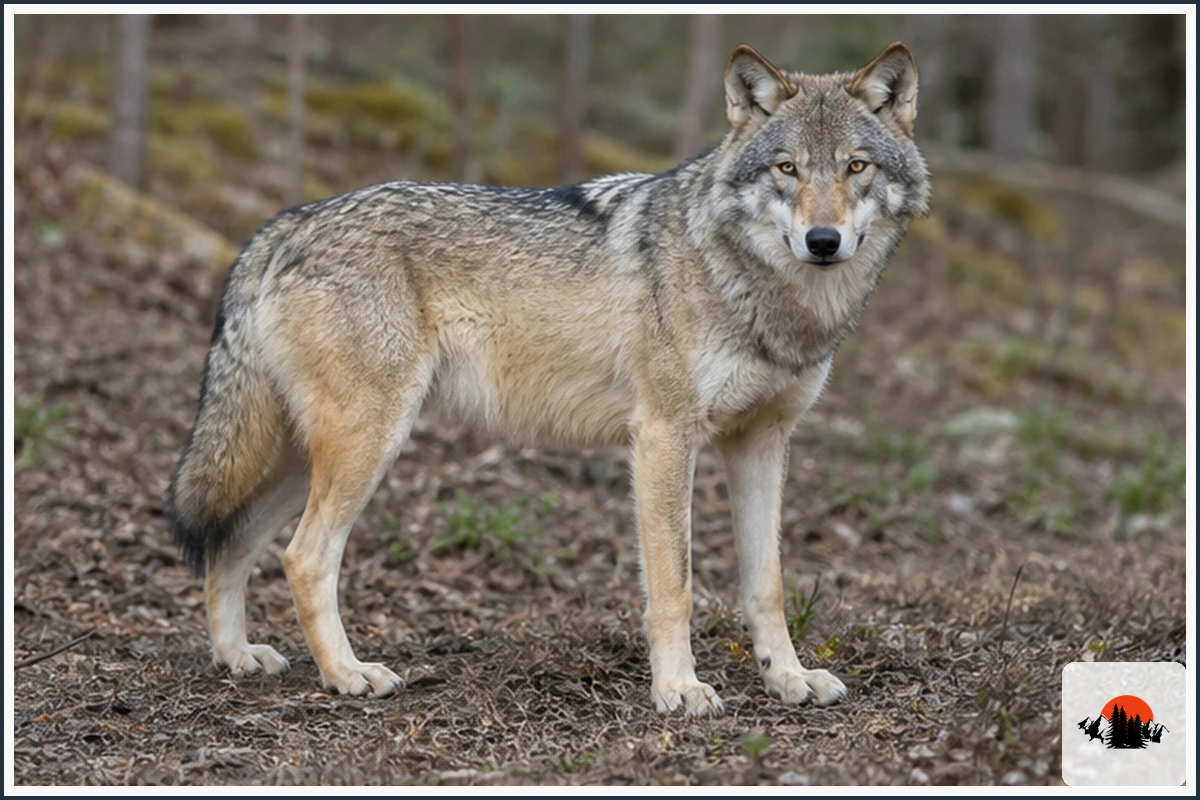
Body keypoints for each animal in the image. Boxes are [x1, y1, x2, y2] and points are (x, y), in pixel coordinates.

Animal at [167, 42, 929, 716]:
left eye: (856, 166)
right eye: (787, 168)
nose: (823, 241)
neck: (758, 291)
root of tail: (286, 223)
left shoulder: (763, 442)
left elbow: (767, 584)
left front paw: (788, 679)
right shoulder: (664, 438)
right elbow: (675, 587)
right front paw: (678, 690)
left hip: (302, 456)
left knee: (230, 544)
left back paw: (237, 658)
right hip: (364, 445)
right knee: (303, 557)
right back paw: (347, 674)